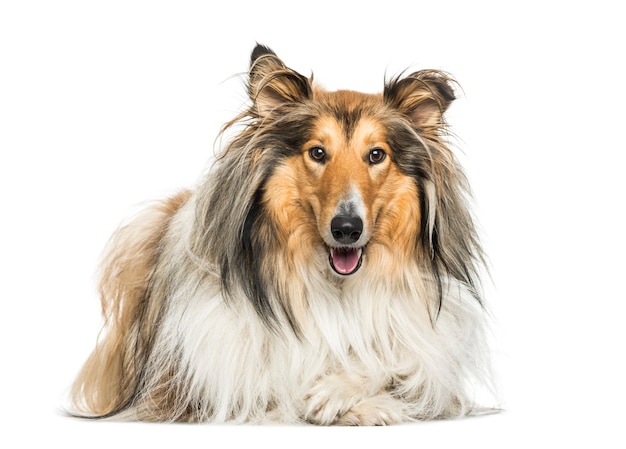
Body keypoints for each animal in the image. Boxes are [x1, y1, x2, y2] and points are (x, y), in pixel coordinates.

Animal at [70, 44, 492, 424]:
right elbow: (274, 383)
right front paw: (358, 405)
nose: (346, 229)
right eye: (318, 152)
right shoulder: (190, 382)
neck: (332, 286)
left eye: (376, 155)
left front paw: (344, 393)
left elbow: (401, 360)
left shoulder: (427, 348)